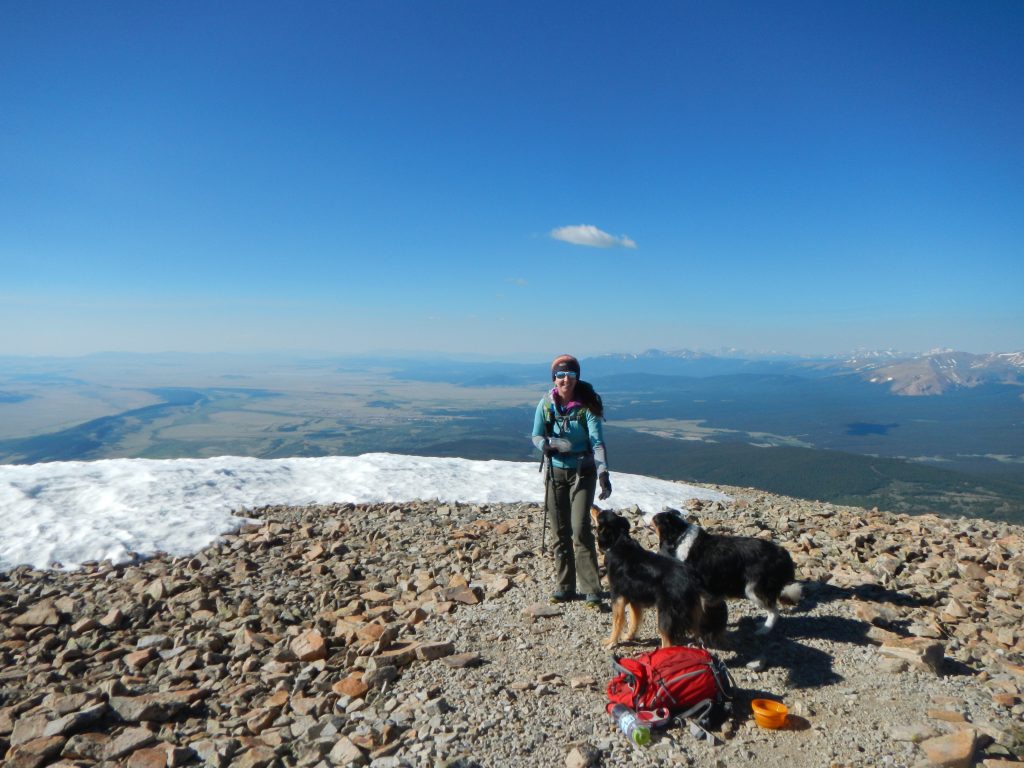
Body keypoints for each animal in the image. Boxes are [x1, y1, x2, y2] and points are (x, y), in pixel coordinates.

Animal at [589, 512, 716, 651]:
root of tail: (691, 579)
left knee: (667, 641)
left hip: (665, 613)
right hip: (693, 615)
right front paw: (628, 636)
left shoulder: (617, 596)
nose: (593, 508)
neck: (618, 540)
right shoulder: (634, 598)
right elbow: (634, 620)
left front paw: (611, 641)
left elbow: (617, 621)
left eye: (599, 515)